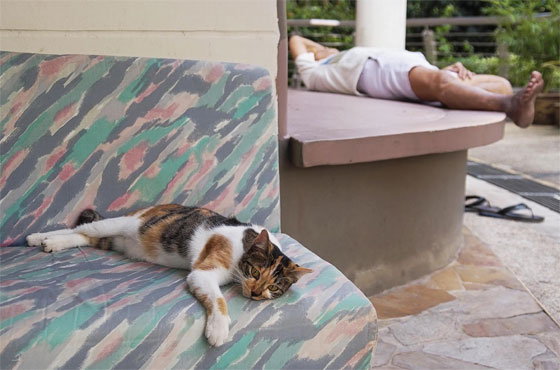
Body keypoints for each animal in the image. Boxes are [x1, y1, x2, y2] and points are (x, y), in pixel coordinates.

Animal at [26, 205, 312, 346]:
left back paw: (49, 242)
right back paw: (41, 237)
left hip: (111, 239)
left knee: (84, 235)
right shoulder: (202, 272)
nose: (255, 293)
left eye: (274, 287)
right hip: (121, 223)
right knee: (83, 227)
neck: (245, 245)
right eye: (255, 271)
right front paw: (218, 330)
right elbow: (218, 299)